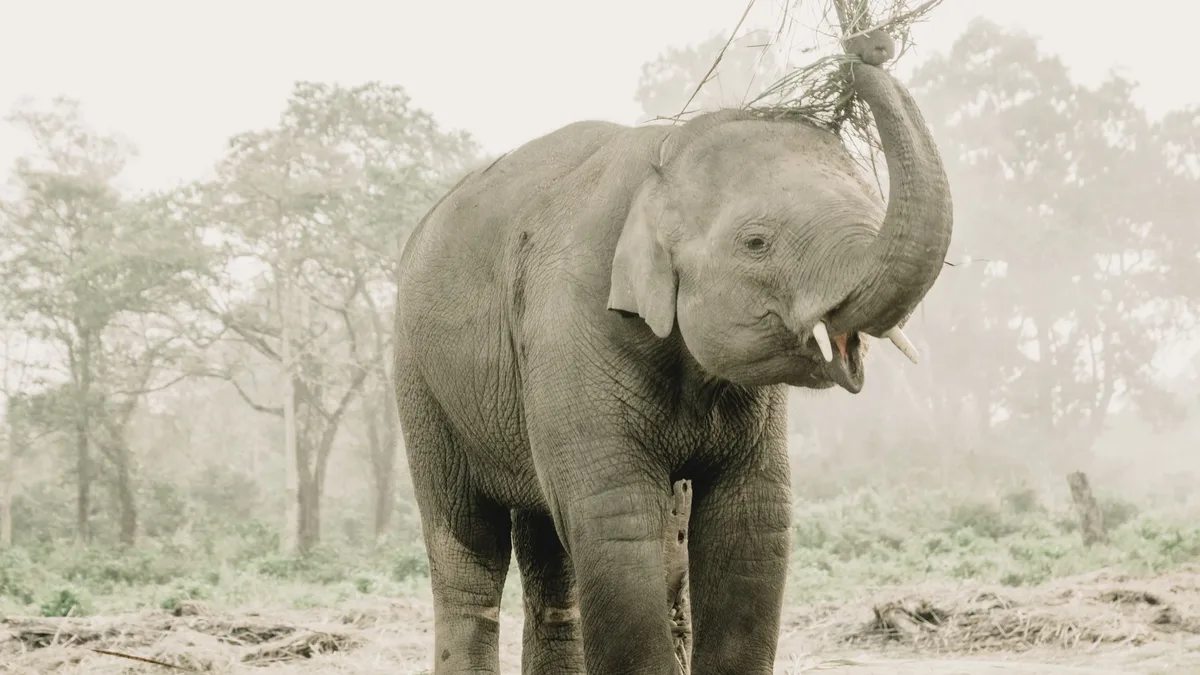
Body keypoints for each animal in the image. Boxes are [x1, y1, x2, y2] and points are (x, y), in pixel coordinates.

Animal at [392, 28, 952, 675]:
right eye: (756, 243)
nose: (871, 43)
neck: (662, 159)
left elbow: (753, 520)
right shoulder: (569, 322)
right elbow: (615, 518)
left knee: (550, 556)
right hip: (420, 384)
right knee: (467, 546)